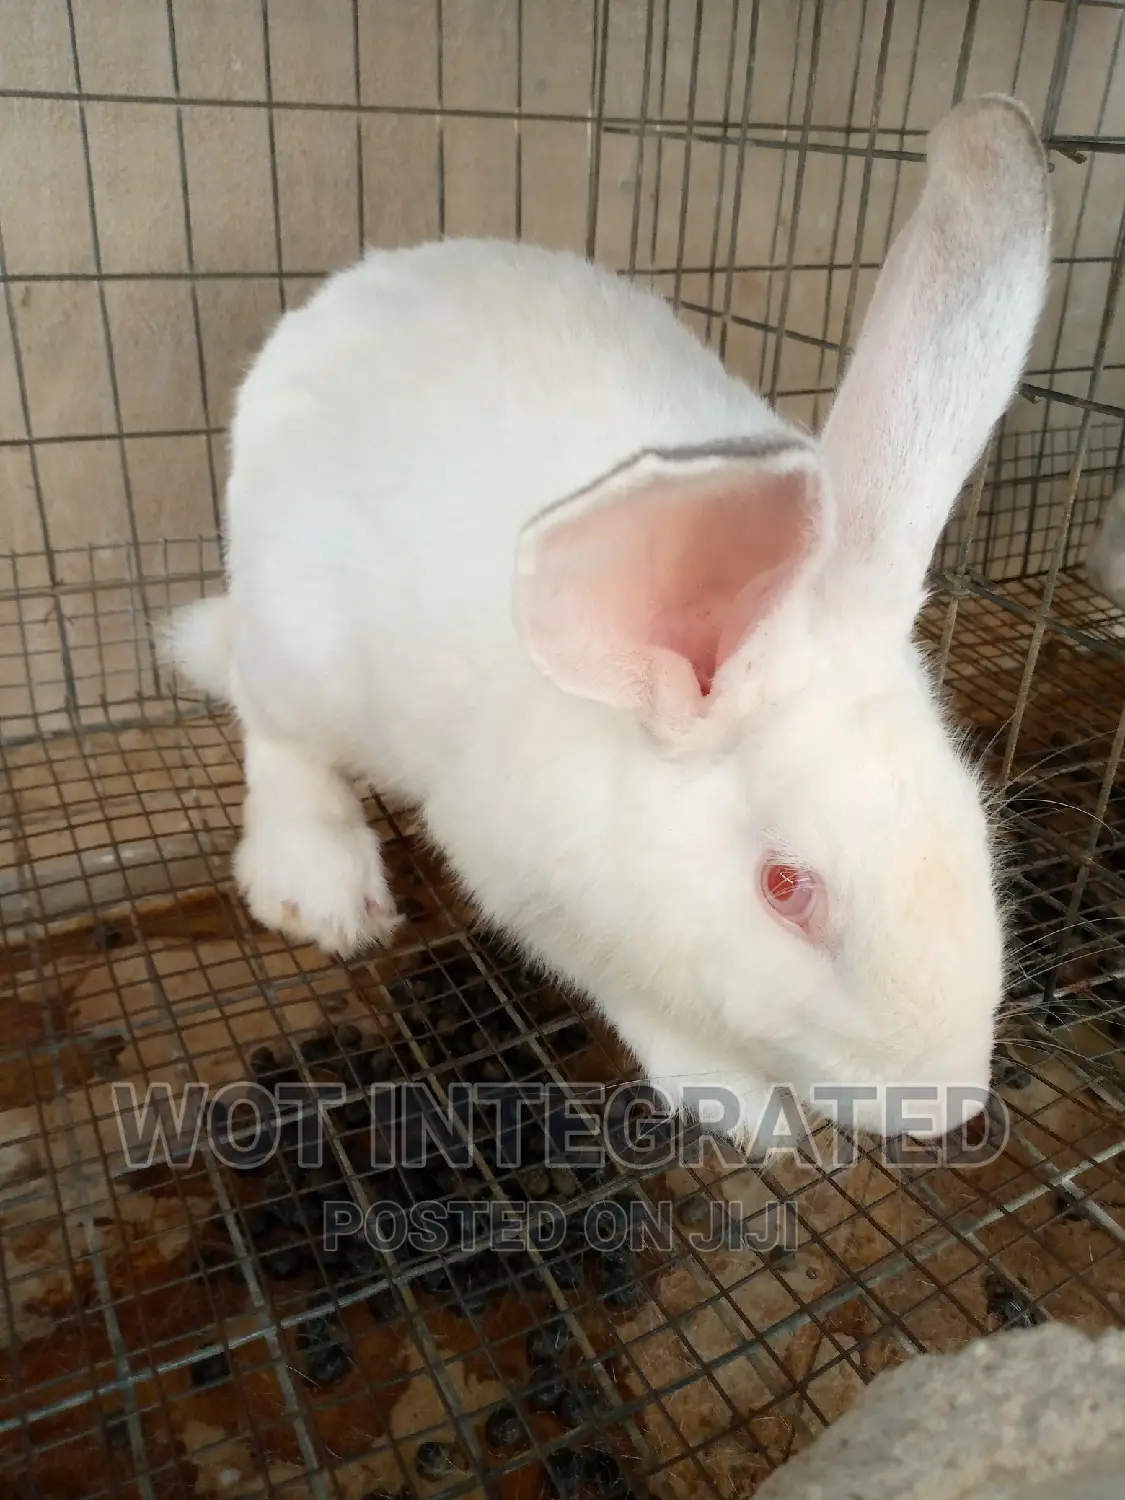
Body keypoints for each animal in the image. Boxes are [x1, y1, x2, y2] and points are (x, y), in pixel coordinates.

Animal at [163, 94, 1051, 1153]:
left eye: (976, 823)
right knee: (275, 732)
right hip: (298, 644)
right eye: (784, 888)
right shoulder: (529, 890)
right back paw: (322, 885)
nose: (946, 1105)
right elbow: (641, 1003)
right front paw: (744, 1106)